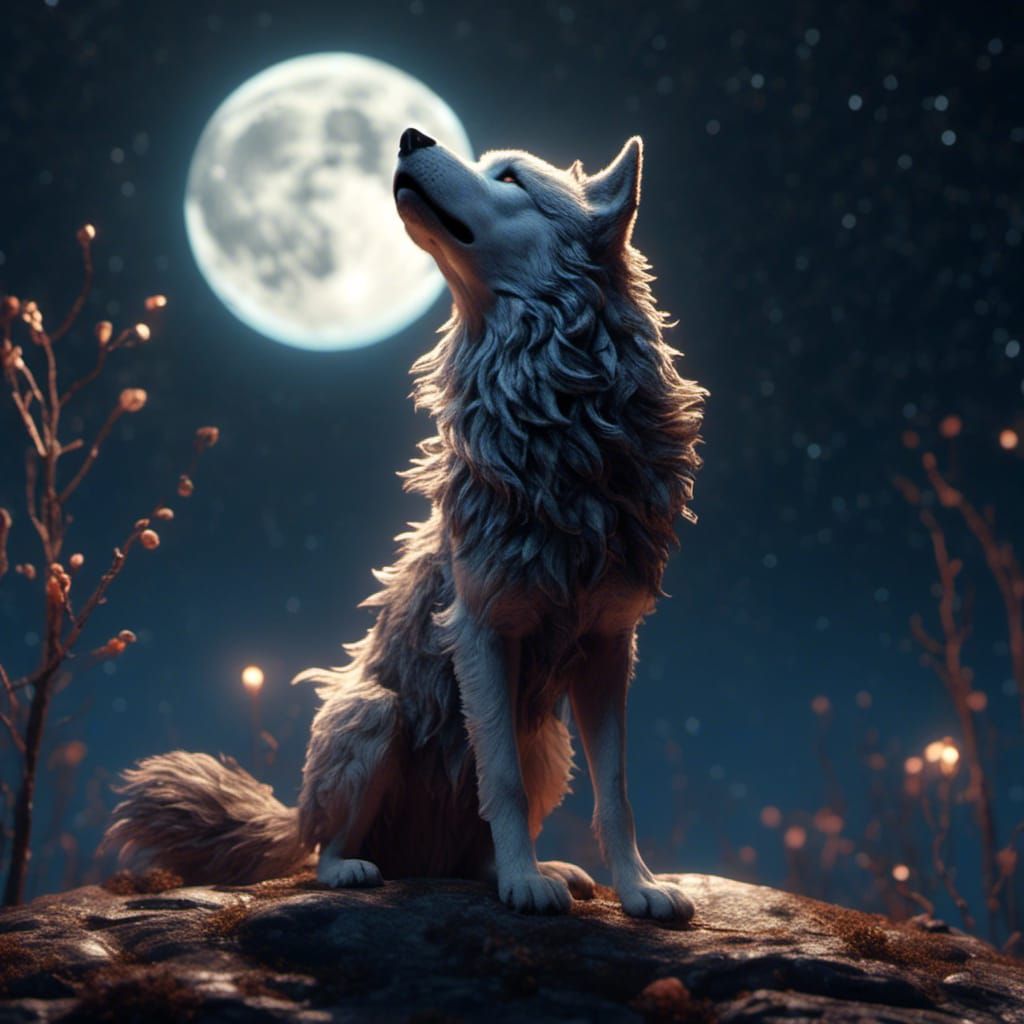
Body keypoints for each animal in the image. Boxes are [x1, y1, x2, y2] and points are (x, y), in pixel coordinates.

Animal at [105, 128, 706, 919]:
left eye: (509, 177)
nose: (410, 135)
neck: (559, 424)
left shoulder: (610, 644)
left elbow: (617, 792)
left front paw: (637, 888)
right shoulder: (481, 628)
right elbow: (502, 784)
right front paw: (524, 887)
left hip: (547, 746)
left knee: (471, 845)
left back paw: (532, 870)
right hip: (373, 716)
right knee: (326, 845)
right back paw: (359, 870)